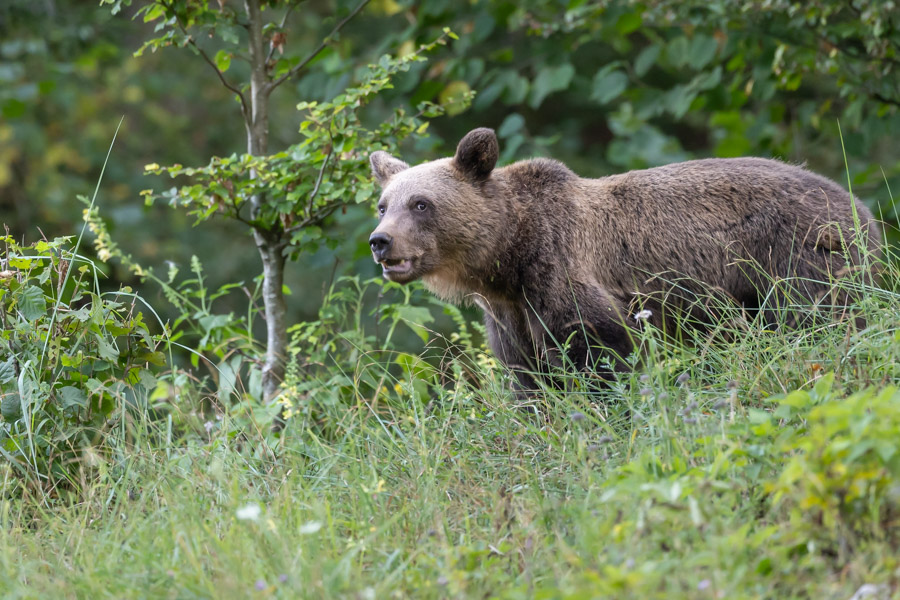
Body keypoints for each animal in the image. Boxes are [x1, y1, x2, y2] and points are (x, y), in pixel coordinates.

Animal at [370, 127, 884, 390]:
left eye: (421, 203)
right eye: (383, 204)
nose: (380, 242)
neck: (508, 257)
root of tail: (857, 205)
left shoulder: (564, 274)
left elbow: (599, 353)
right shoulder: (509, 314)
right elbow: (529, 379)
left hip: (794, 255)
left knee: (821, 317)